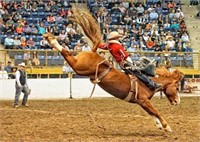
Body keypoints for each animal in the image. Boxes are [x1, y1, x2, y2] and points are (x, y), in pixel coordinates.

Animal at [43, 7, 184, 132]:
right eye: (177, 87)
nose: (178, 101)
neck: (150, 80)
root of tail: (93, 51)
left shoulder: (141, 102)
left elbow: (151, 113)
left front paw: (159, 125)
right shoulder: (144, 99)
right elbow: (156, 112)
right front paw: (167, 127)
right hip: (79, 67)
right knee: (66, 52)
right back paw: (51, 39)